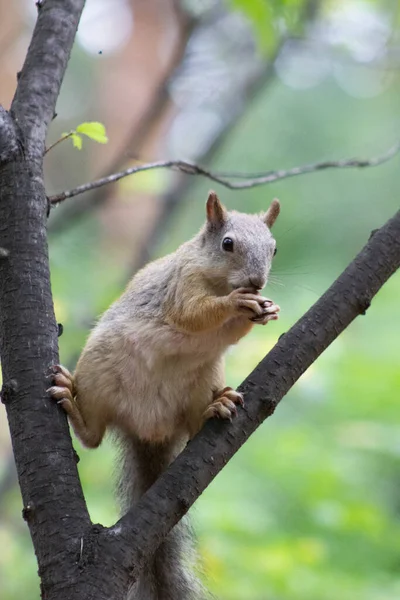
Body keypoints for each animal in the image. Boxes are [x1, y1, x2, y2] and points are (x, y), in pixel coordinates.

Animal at [49, 192, 282, 600]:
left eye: (273, 248)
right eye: (227, 244)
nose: (257, 282)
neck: (218, 280)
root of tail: (150, 430)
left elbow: (231, 331)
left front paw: (266, 308)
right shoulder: (180, 284)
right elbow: (193, 314)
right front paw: (237, 304)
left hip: (204, 378)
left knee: (193, 424)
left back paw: (216, 406)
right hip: (97, 371)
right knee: (92, 436)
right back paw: (74, 406)